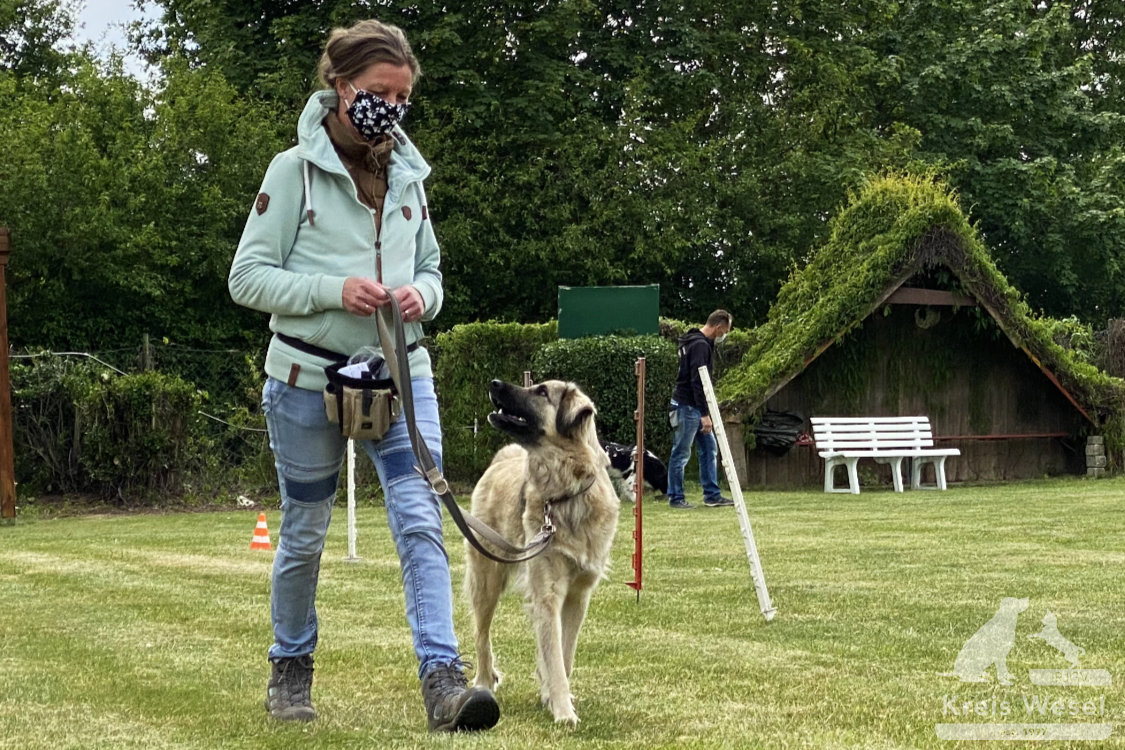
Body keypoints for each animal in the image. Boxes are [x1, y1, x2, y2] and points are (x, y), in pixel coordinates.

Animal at [463, 377, 621, 724]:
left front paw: (555, 696)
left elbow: (563, 654)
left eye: (542, 392)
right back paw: (484, 681)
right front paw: (563, 711)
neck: (567, 493)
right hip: (486, 578)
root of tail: (502, 459)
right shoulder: (547, 591)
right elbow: (555, 656)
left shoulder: (577, 596)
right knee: (482, 635)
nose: (494, 382)